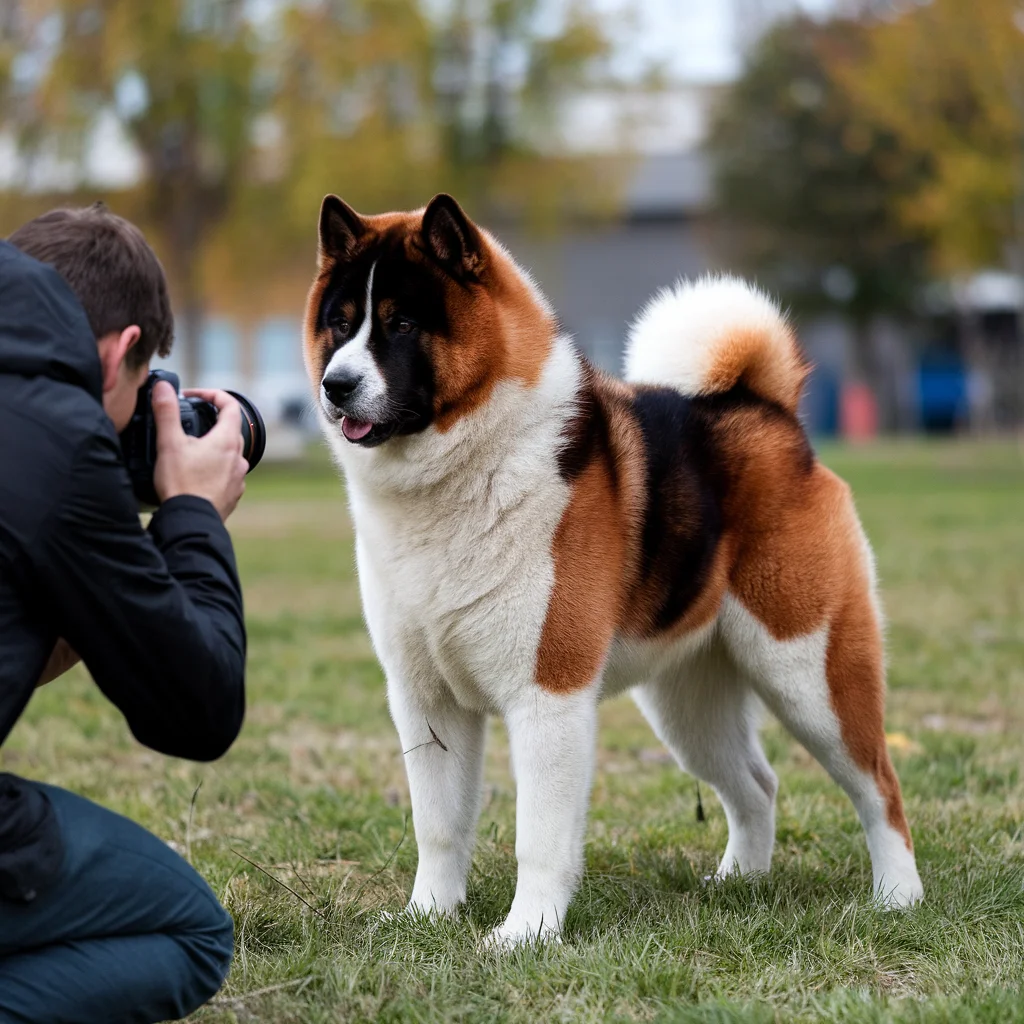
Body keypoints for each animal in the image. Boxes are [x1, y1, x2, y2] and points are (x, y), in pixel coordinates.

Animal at [301, 192, 921, 942]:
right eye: (340, 324)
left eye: (402, 323)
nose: (336, 384)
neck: (463, 471)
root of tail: (767, 410)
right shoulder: (426, 701)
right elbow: (438, 826)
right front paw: (428, 916)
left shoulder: (548, 694)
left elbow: (539, 836)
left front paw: (525, 934)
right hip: (688, 707)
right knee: (756, 784)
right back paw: (739, 881)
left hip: (810, 675)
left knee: (879, 785)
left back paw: (898, 897)